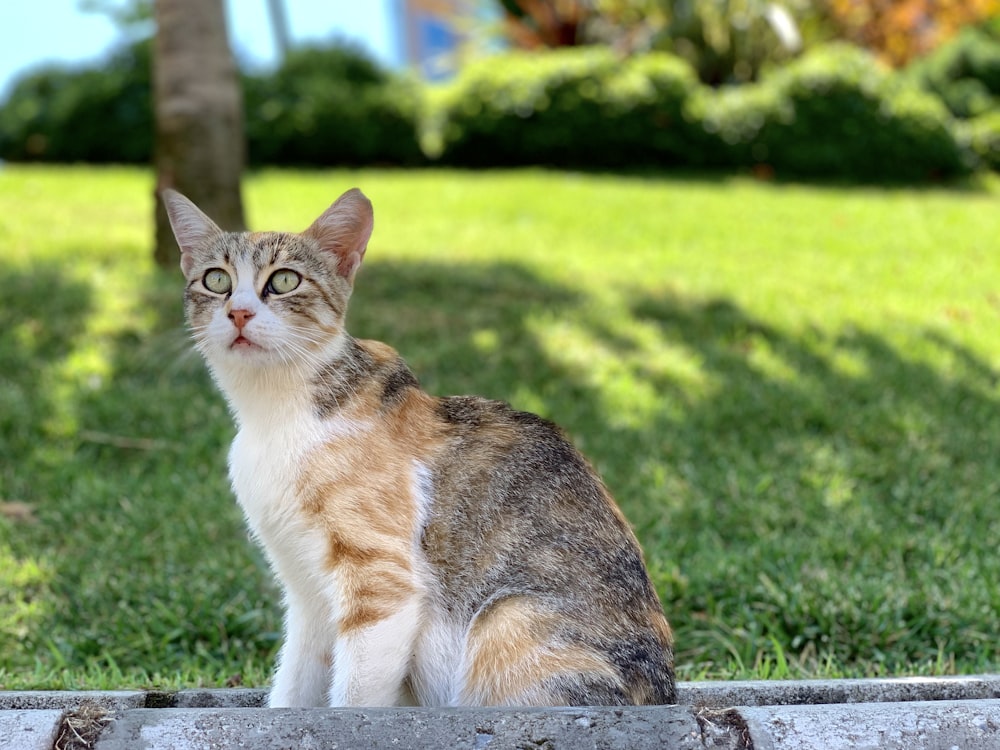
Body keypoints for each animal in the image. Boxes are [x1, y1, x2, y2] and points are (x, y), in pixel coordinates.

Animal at [164, 188, 676, 712]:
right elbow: (294, 687)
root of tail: (665, 693)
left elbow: (354, 699)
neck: (272, 415)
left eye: (285, 280)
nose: (239, 312)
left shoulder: (382, 582)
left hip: (509, 621)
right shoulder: (307, 595)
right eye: (216, 280)